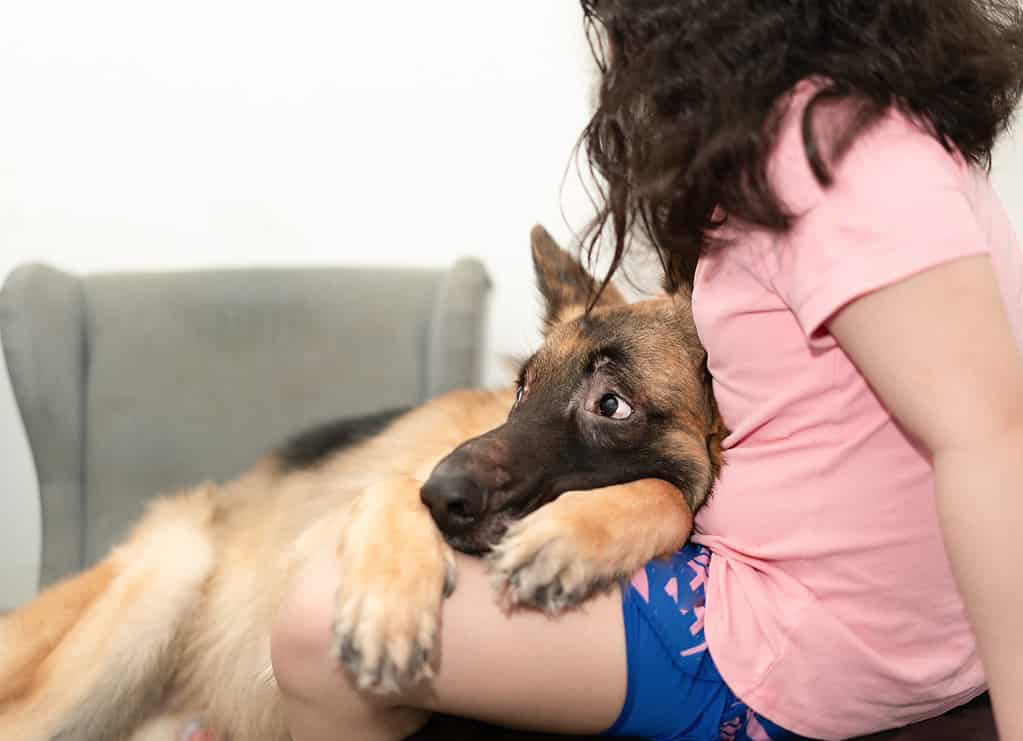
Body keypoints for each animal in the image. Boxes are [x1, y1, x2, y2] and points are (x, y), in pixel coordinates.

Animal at [0, 227, 724, 741]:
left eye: (613, 406)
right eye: (523, 388)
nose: (443, 494)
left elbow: (670, 496)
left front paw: (574, 534)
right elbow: (389, 484)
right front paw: (388, 601)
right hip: (164, 579)